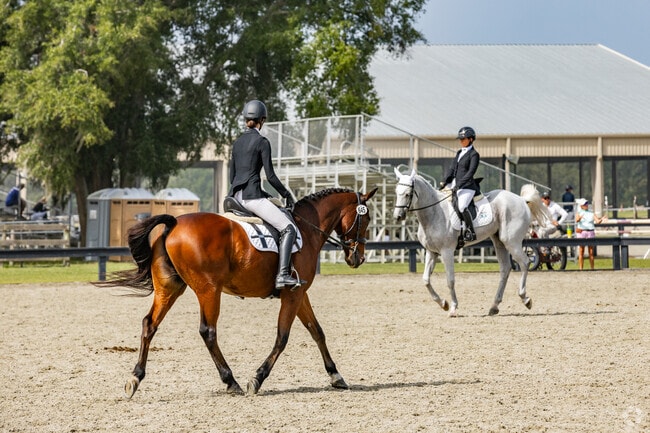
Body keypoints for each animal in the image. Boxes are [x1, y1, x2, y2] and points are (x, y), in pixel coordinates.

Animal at [98, 187, 378, 397]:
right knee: (208, 331)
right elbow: (283, 337)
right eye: (367, 219)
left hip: (170, 288)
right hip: (209, 290)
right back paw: (231, 381)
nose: (358, 258)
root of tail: (174, 223)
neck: (306, 228)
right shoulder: (293, 295)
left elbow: (317, 331)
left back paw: (135, 378)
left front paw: (336, 375)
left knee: (150, 325)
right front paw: (257, 379)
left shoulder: (300, 294)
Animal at [392, 168, 550, 317]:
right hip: (499, 241)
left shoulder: (447, 252)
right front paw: (443, 304)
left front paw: (453, 308)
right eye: (396, 192)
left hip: (511, 241)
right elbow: (425, 280)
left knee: (524, 262)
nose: (397, 217)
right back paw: (494, 306)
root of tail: (522, 200)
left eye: (407, 194)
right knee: (505, 268)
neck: (434, 212)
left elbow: (450, 280)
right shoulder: (432, 252)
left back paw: (525, 299)